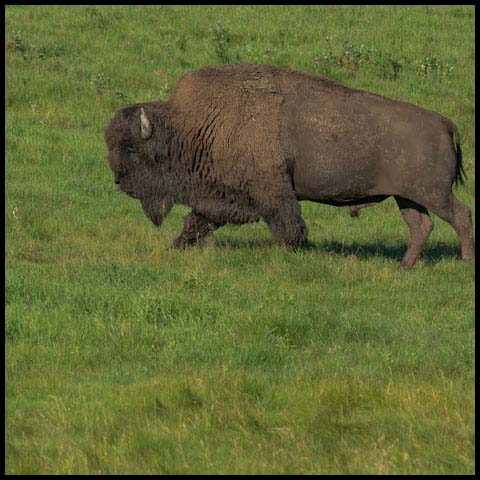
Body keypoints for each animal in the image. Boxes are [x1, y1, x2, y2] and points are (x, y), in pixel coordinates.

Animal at [103, 62, 474, 268]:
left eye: (131, 149)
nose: (120, 183)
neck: (193, 126)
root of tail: (445, 122)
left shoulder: (273, 192)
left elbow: (287, 225)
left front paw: (286, 251)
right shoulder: (217, 198)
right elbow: (198, 221)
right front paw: (178, 246)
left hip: (433, 194)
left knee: (460, 216)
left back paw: (464, 260)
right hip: (408, 198)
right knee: (421, 227)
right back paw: (404, 266)